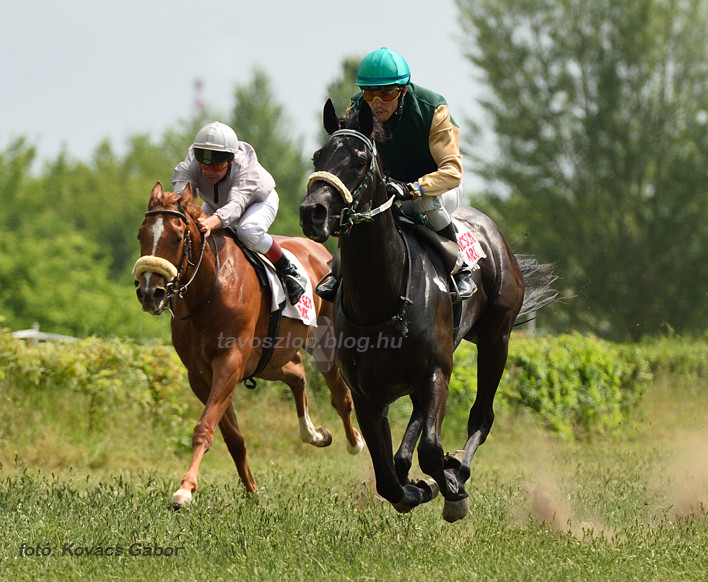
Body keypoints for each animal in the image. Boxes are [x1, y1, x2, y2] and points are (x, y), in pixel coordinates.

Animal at [135, 181, 362, 506]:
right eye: (142, 235)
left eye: (177, 238)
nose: (149, 292)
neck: (208, 290)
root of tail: (322, 252)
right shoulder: (200, 375)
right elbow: (232, 437)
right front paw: (252, 491)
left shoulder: (229, 364)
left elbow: (205, 427)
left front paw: (184, 490)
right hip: (269, 360)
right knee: (297, 374)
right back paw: (314, 434)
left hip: (324, 344)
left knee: (341, 395)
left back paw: (355, 442)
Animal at [296, 101, 556, 524]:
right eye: (318, 156)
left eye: (360, 159)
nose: (312, 212)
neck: (382, 298)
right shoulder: (367, 393)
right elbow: (386, 476)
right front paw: (413, 488)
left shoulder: (436, 370)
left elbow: (432, 451)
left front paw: (449, 485)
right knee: (415, 424)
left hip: (495, 339)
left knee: (481, 416)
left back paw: (459, 469)